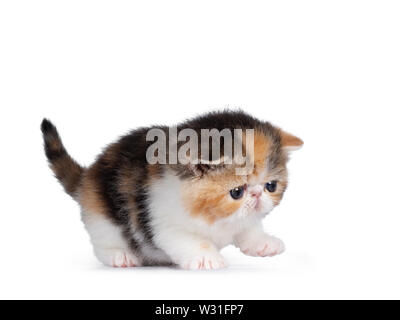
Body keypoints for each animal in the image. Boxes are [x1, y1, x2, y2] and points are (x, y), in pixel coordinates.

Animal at [41, 111, 304, 268]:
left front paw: (264, 243)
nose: (257, 194)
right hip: (101, 217)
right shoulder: (162, 222)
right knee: (103, 242)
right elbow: (190, 240)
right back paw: (120, 256)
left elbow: (249, 227)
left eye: (271, 186)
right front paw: (207, 258)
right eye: (236, 192)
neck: (214, 218)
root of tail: (87, 177)